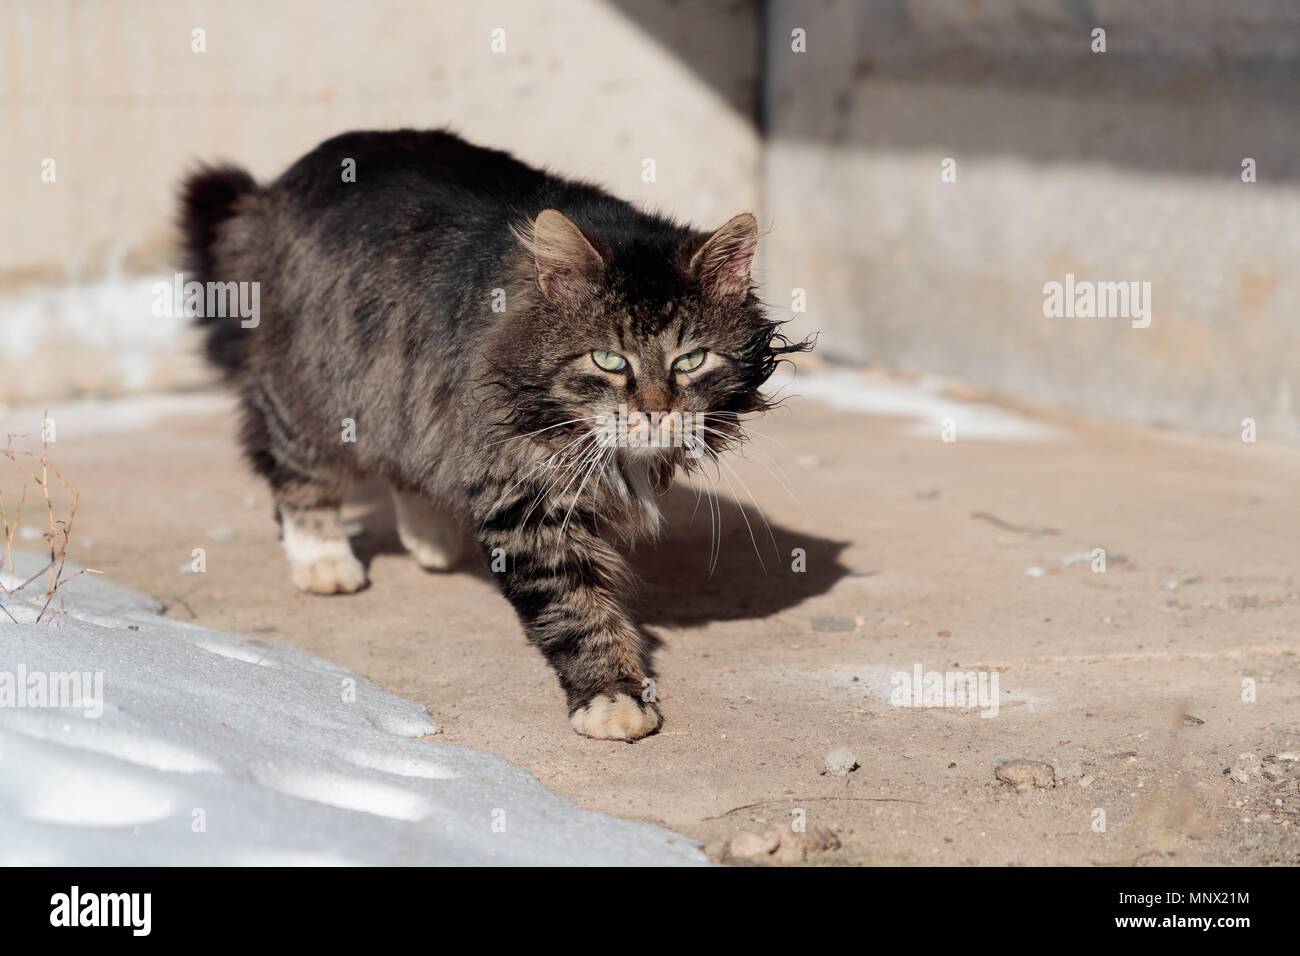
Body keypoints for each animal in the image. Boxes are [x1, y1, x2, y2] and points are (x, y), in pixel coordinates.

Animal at [178, 128, 806, 738]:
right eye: (608, 360)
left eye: (691, 360)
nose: (654, 411)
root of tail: (276, 187)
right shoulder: (526, 499)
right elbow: (576, 610)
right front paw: (612, 698)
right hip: (315, 393)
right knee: (299, 477)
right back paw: (325, 563)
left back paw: (430, 539)